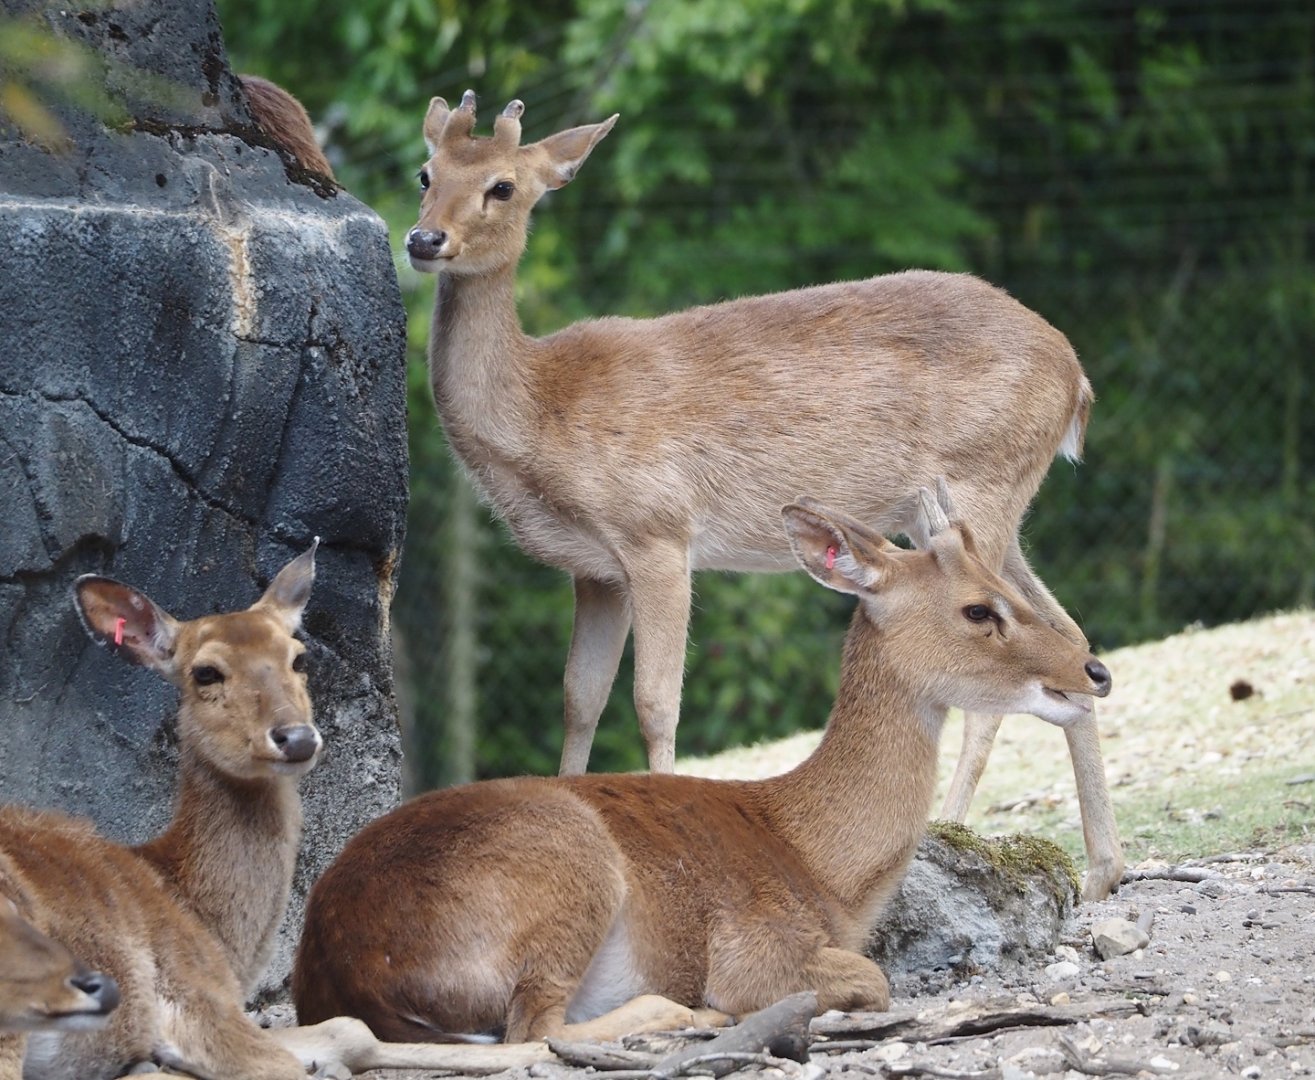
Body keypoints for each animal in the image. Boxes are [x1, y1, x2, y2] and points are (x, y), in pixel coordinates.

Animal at [291, 483, 1113, 1043]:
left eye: (1008, 587)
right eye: (980, 609)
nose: (1094, 671)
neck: (823, 868)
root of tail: (339, 973)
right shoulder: (755, 946)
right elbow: (871, 977)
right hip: (569, 867)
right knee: (536, 1029)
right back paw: (687, 1015)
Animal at [404, 90, 1124, 900]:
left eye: (502, 186)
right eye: (425, 172)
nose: (424, 239)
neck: (543, 413)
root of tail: (1077, 381)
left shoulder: (658, 530)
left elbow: (655, 702)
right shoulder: (593, 570)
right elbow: (578, 698)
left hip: (982, 481)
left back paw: (955, 829)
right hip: (963, 507)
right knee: (1069, 632)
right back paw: (1103, 867)